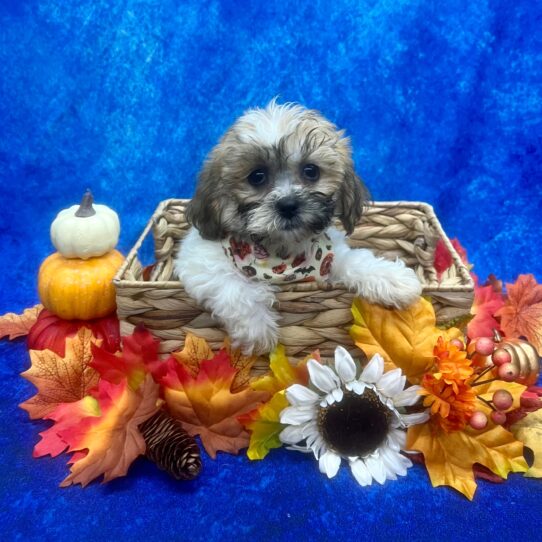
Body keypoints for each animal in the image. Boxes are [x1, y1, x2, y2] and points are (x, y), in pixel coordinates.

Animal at [176, 101, 422, 354]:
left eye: (311, 171)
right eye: (256, 176)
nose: (288, 205)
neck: (281, 255)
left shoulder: (327, 258)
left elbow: (356, 260)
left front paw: (394, 279)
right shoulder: (199, 261)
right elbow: (233, 286)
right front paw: (258, 329)